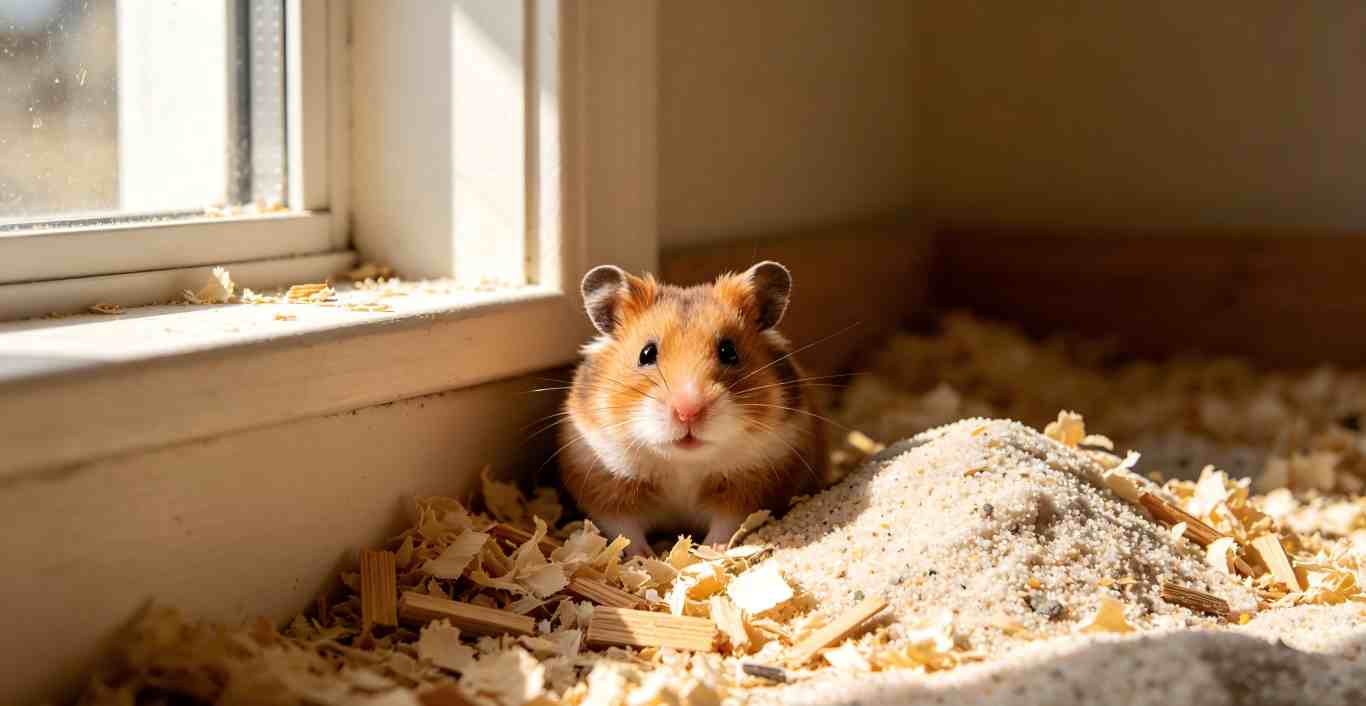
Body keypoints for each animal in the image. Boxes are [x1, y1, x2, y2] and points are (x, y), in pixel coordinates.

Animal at [558, 261, 827, 554]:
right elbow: (625, 530)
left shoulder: (755, 481)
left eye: (729, 351)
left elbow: (727, 523)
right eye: (646, 353)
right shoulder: (604, 482)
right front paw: (644, 557)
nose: (688, 411)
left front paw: (707, 551)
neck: (683, 463)